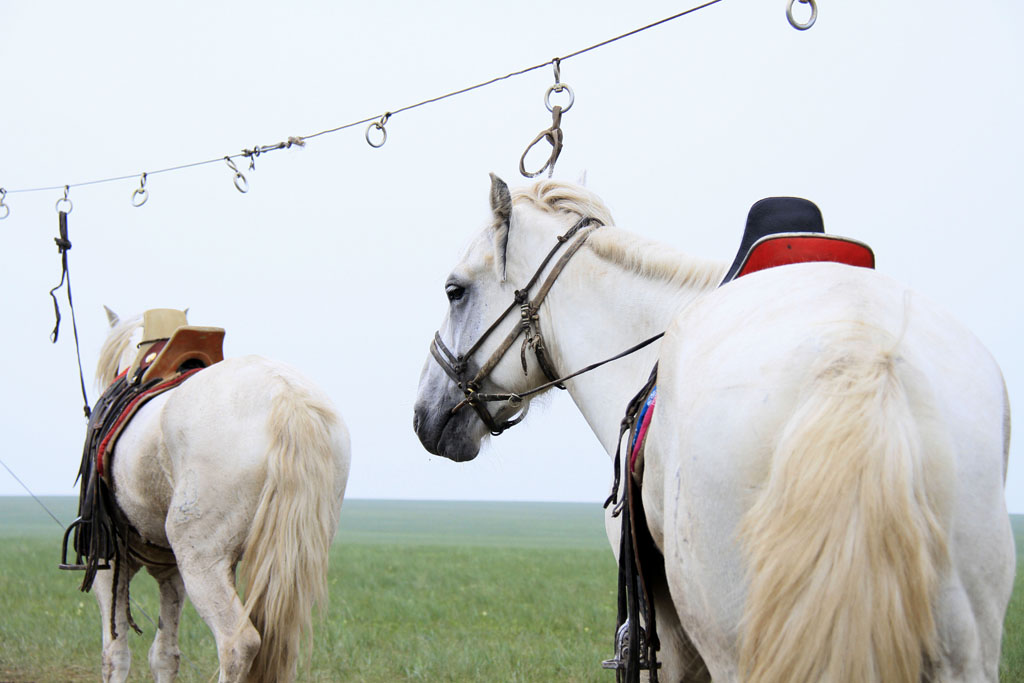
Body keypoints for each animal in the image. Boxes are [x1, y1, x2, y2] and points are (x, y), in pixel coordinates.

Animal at [81, 311, 352, 683]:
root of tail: (286, 397)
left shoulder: (109, 562)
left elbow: (115, 653)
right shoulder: (169, 569)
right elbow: (164, 654)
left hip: (202, 560)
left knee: (238, 642)